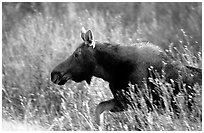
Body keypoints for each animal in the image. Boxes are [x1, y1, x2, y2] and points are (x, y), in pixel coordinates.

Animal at [50, 27, 201, 125]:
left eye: (77, 54)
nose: (54, 74)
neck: (112, 71)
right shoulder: (123, 100)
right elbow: (99, 108)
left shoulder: (140, 101)